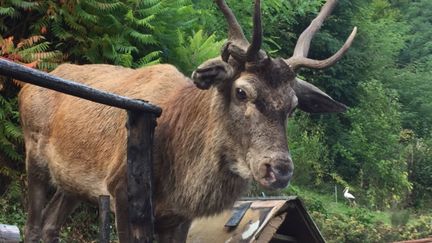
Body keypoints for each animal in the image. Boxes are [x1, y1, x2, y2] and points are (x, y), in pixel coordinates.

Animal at [17, 0, 354, 242]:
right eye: (242, 91)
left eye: (294, 106)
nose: (279, 169)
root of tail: (26, 87)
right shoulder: (121, 189)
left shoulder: (179, 216)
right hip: (34, 152)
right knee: (32, 226)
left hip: (72, 183)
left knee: (50, 224)